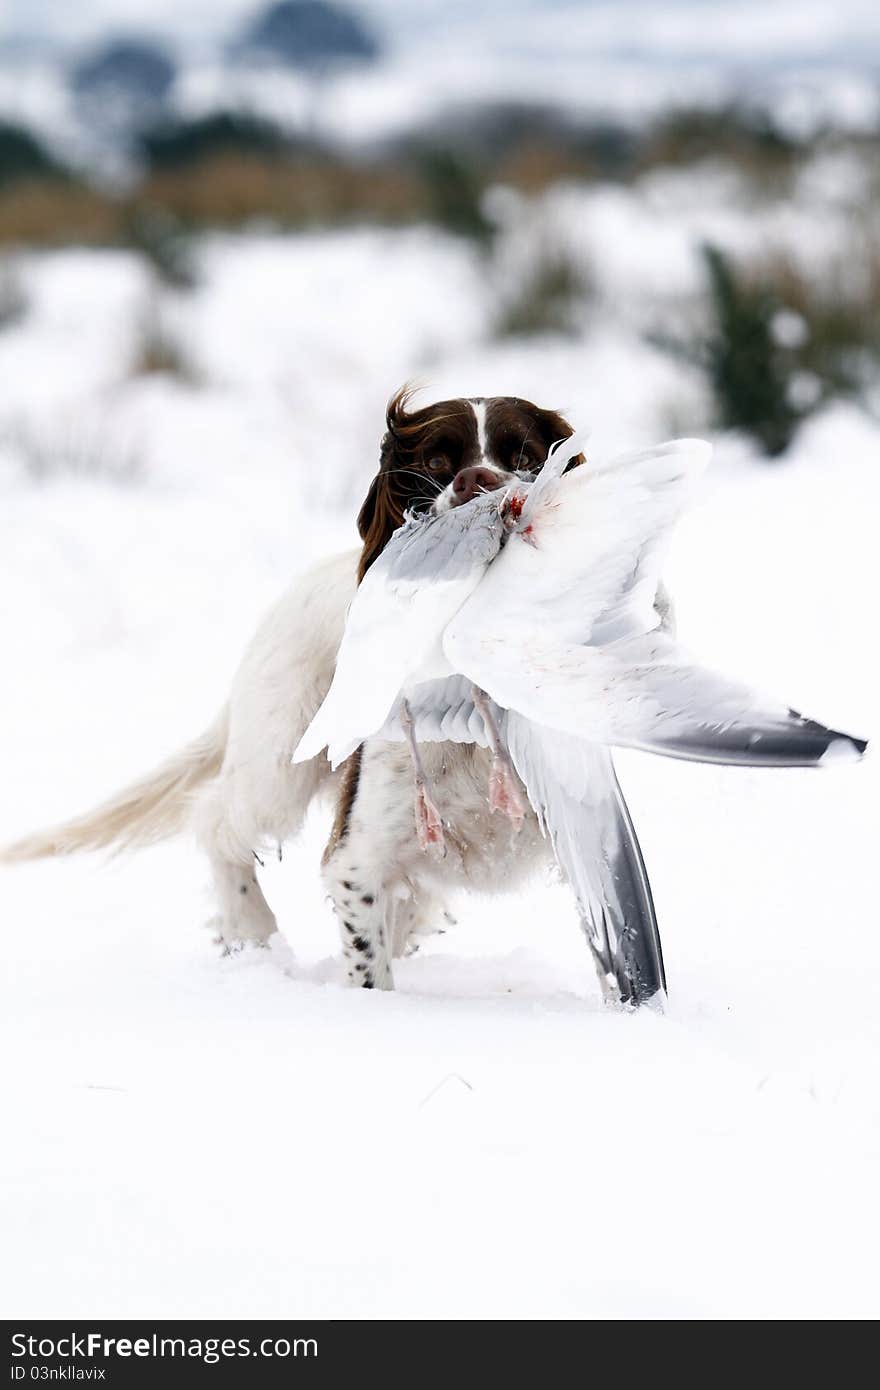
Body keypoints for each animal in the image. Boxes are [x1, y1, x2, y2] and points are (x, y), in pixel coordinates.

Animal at [3, 389, 589, 989]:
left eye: (525, 454)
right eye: (434, 461)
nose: (479, 479)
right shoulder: (355, 860)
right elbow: (370, 963)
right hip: (275, 766)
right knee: (216, 821)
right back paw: (250, 932)